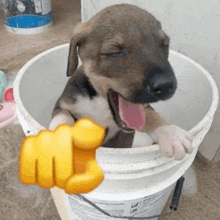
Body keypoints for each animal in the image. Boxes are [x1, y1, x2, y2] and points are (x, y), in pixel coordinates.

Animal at [49, 2, 192, 159]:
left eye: (165, 45)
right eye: (115, 52)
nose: (166, 85)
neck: (101, 103)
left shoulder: (141, 110)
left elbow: (151, 115)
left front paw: (171, 133)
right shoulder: (62, 105)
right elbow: (63, 118)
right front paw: (57, 141)